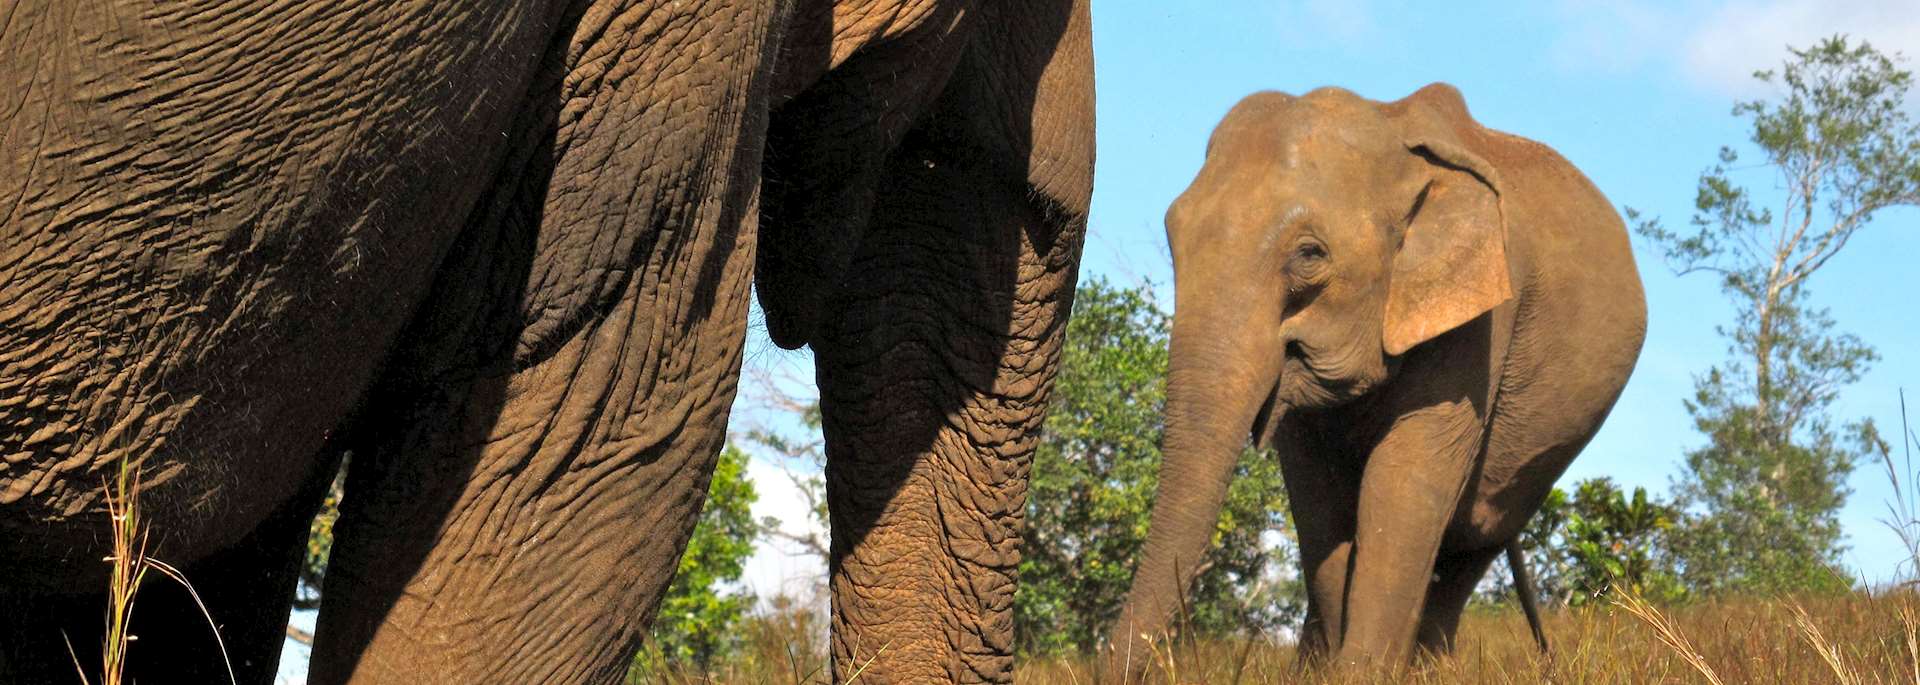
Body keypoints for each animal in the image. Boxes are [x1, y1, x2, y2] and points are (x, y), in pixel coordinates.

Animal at [1105, 84, 1646, 674]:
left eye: (1309, 254)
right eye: (1172, 238)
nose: (1120, 660)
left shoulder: (1481, 316)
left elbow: (1405, 480)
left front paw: (1356, 674)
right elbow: (1316, 495)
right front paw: (1320, 674)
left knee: (1474, 537)